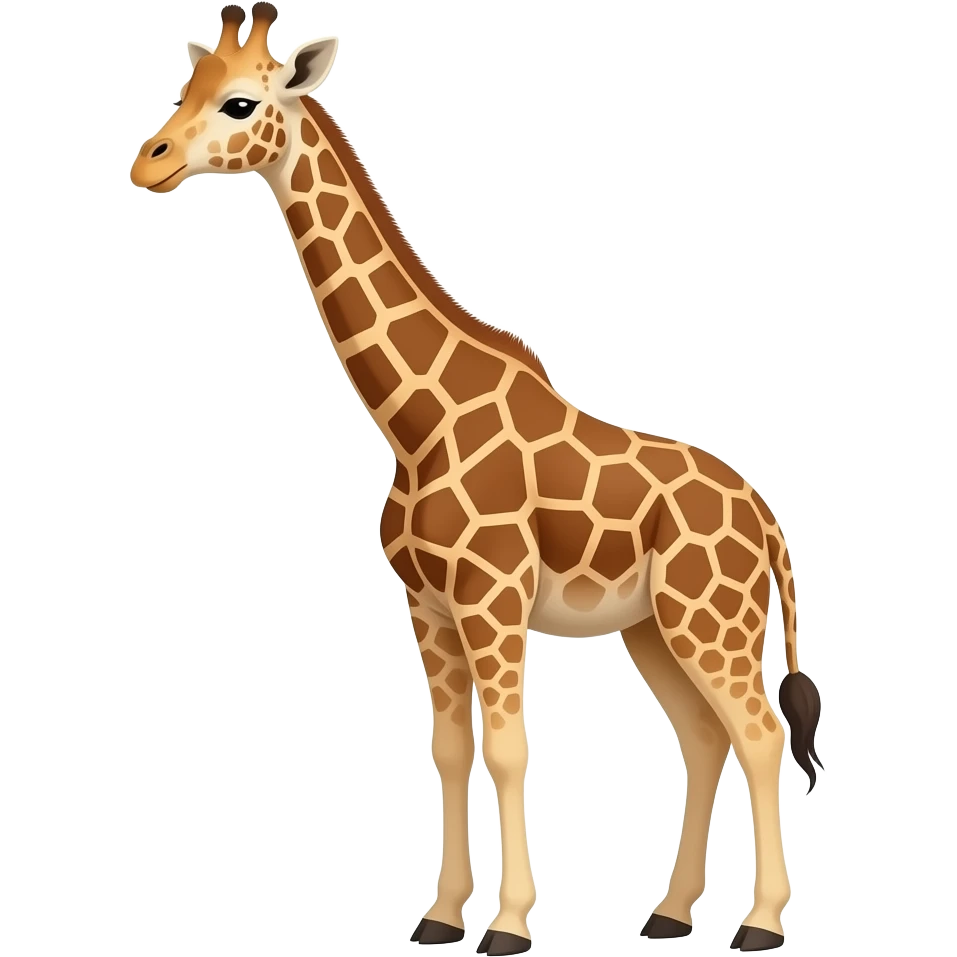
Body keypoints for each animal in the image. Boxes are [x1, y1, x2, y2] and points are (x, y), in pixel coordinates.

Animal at [130, 6, 824, 954]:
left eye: (240, 101)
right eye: (185, 87)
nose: (148, 163)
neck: (415, 421)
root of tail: (764, 515)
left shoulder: (491, 598)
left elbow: (506, 746)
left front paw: (508, 923)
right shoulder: (425, 604)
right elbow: (450, 747)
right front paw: (439, 913)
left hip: (707, 616)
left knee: (755, 731)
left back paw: (758, 921)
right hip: (651, 625)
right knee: (700, 735)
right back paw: (671, 912)